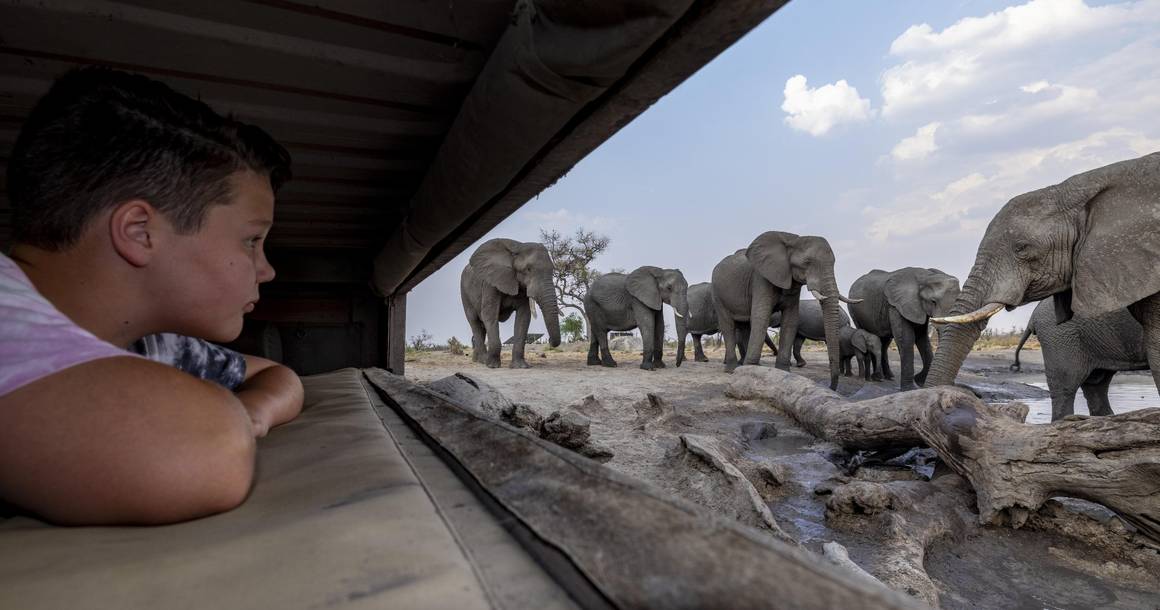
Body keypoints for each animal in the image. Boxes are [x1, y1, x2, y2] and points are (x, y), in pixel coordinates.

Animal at [460, 238, 561, 368]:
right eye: (528, 269)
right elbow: (489, 314)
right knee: (474, 321)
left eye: (552, 269)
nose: (549, 341)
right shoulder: (491, 283)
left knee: (481, 326)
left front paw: (521, 366)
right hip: (464, 293)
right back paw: (482, 360)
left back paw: (477, 360)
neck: (518, 247)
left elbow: (524, 317)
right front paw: (492, 366)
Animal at [711, 232, 858, 390]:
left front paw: (782, 372)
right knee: (727, 325)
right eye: (807, 262)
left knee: (744, 327)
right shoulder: (761, 278)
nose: (830, 386)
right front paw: (750, 370)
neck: (792, 240)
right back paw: (732, 370)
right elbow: (761, 316)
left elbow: (790, 320)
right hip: (717, 294)